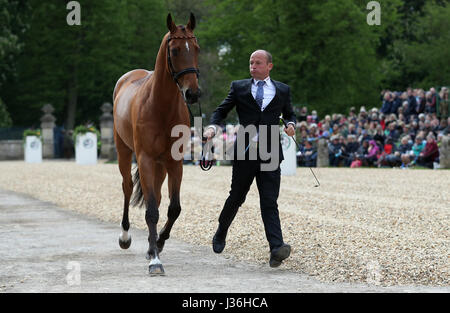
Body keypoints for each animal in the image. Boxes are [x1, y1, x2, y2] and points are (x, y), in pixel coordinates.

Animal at [112, 13, 200, 274]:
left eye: (197, 48)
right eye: (175, 50)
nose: (193, 94)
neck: (160, 106)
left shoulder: (175, 162)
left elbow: (173, 208)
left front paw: (158, 245)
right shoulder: (146, 160)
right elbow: (151, 211)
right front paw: (155, 261)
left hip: (160, 166)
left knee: (159, 198)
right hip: (124, 152)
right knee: (127, 187)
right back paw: (125, 237)